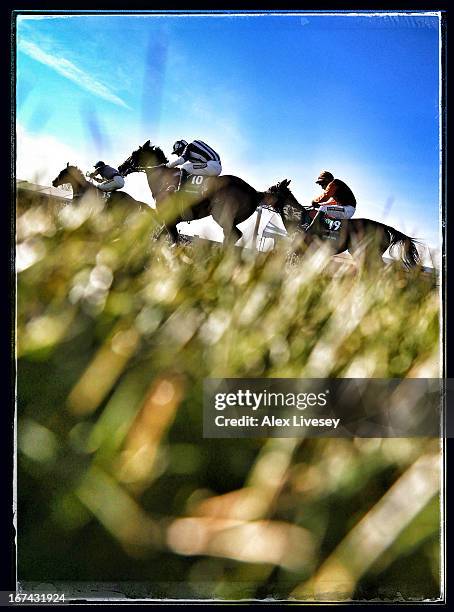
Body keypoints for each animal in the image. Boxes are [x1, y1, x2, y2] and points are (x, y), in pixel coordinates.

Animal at [119, 140, 264, 244]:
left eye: (133, 154)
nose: (121, 167)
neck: (162, 178)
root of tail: (254, 192)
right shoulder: (170, 219)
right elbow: (159, 237)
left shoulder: (168, 217)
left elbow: (173, 241)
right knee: (232, 236)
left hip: (222, 215)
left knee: (233, 235)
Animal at [262, 180, 422, 268]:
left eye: (271, 189)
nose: (259, 196)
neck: (299, 218)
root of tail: (384, 227)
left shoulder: (300, 247)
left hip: (368, 252)